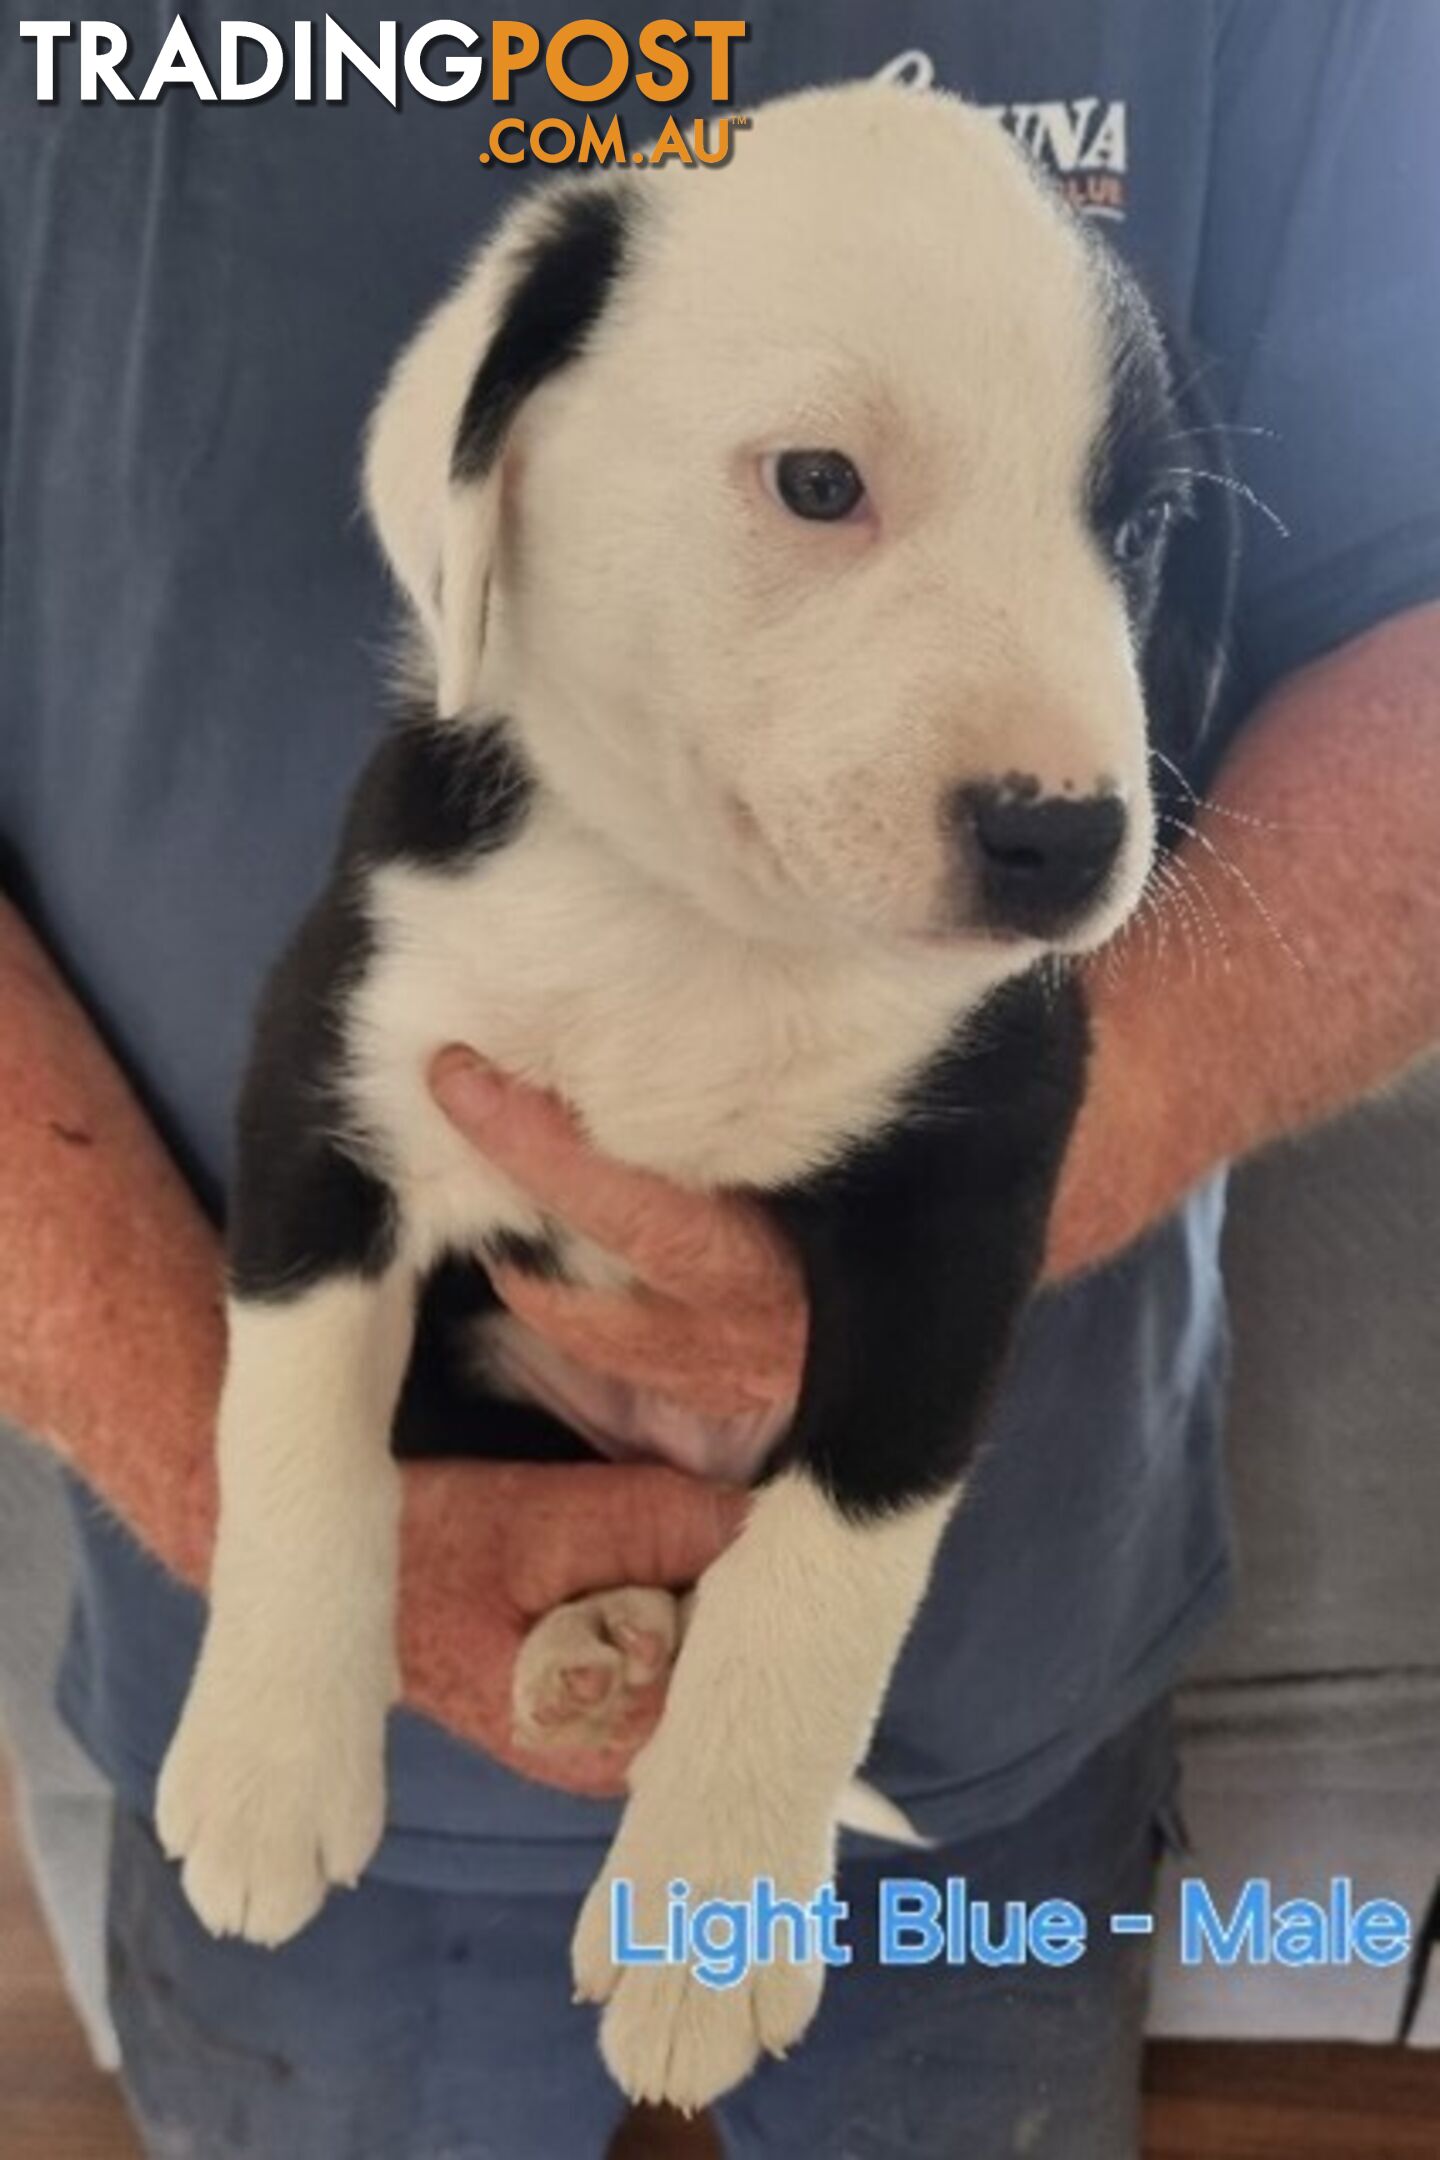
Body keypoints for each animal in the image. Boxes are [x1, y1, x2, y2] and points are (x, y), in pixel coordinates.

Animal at [160, 84, 1243, 2108]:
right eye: (818, 483)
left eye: (1136, 527)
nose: (1066, 841)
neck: (703, 924)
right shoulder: (329, 1071)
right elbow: (294, 1429)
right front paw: (267, 1761)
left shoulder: (965, 1202)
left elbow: (827, 1568)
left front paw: (713, 1904)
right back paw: (587, 1648)